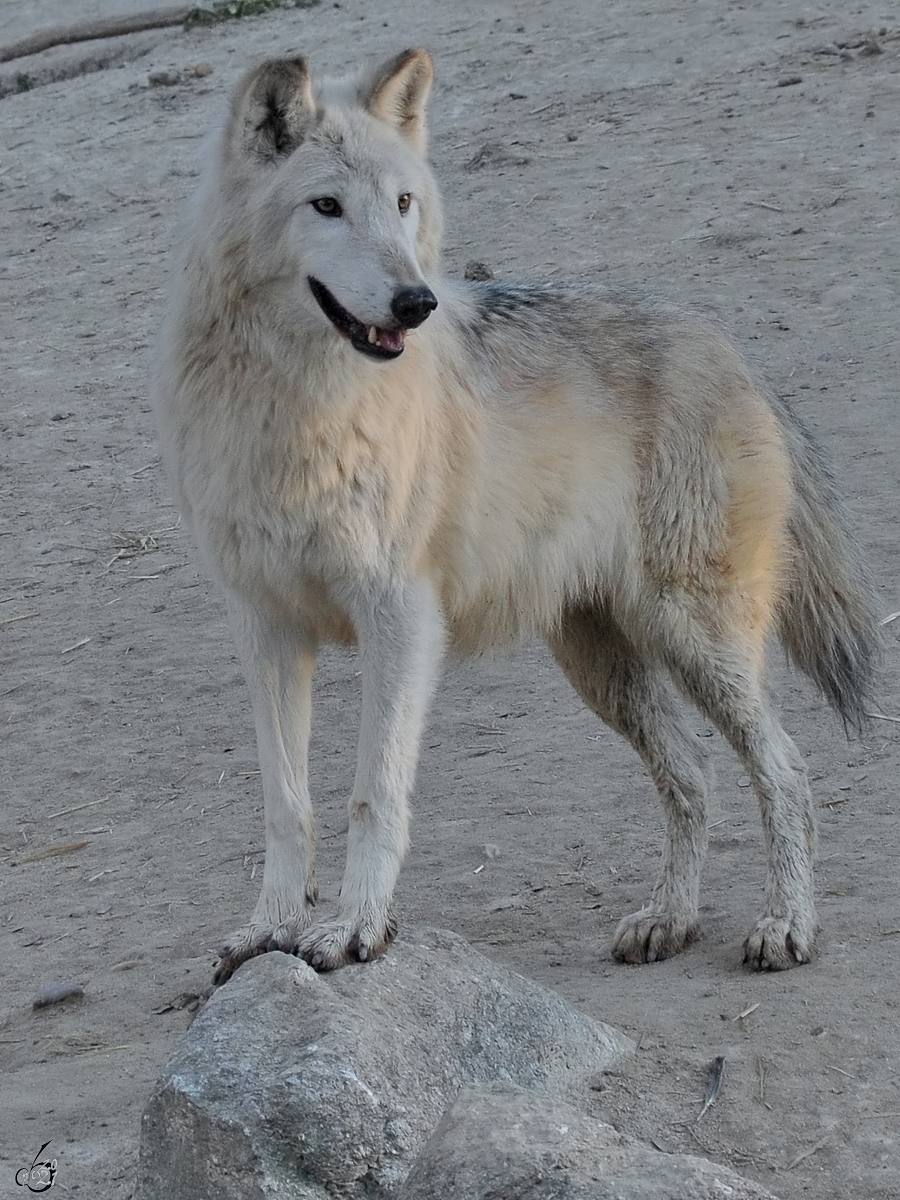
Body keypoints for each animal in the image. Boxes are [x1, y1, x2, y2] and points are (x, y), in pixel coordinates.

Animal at [151, 46, 878, 984]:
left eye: (402, 203)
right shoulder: (266, 628)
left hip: (696, 638)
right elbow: (287, 803)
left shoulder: (399, 616)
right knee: (693, 774)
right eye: (326, 206)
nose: (415, 302)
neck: (295, 408)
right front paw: (267, 929)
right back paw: (669, 920)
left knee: (784, 771)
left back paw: (786, 926)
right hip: (602, 664)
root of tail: (725, 341)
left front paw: (355, 929)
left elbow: (370, 794)